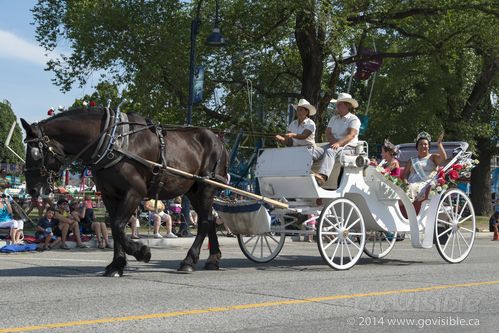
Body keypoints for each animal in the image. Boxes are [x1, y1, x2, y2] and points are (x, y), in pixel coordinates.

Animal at [21, 109, 229, 274]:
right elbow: (115, 227)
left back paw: (189, 261)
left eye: (35, 153)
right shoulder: (110, 195)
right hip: (193, 191)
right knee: (210, 219)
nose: (32, 189)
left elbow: (119, 226)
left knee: (204, 222)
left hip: (206, 187)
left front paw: (141, 252)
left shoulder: (134, 192)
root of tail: (218, 139)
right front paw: (117, 264)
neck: (113, 141)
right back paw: (213, 259)